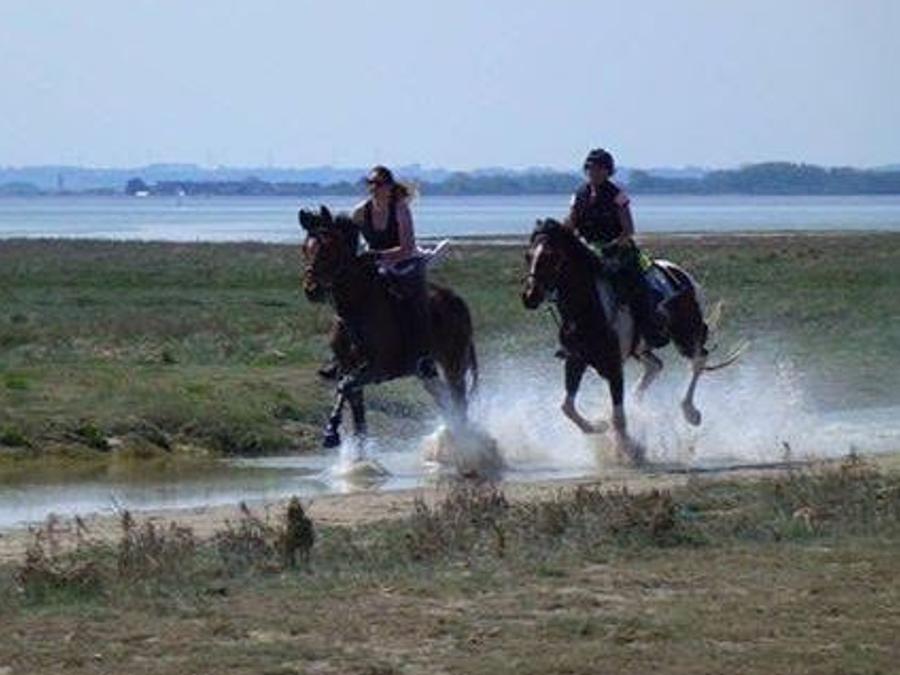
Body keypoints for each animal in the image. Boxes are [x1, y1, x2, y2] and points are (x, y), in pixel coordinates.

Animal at [299, 206, 479, 452]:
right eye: (305, 248)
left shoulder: (378, 368)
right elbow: (355, 407)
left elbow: (345, 387)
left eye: (328, 249)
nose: (311, 289)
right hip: (426, 373)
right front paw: (356, 453)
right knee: (445, 399)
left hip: (453, 363)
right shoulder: (348, 367)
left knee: (458, 400)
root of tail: (458, 302)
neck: (357, 308)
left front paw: (331, 433)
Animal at [521, 218, 743, 462]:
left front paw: (631, 448)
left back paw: (690, 411)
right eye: (529, 256)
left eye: (551, 256)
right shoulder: (575, 361)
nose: (530, 297)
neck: (588, 309)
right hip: (641, 349)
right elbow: (567, 407)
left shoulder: (614, 367)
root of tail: (682, 274)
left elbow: (618, 416)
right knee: (656, 366)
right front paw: (600, 425)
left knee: (698, 360)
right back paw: (639, 402)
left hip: (686, 336)